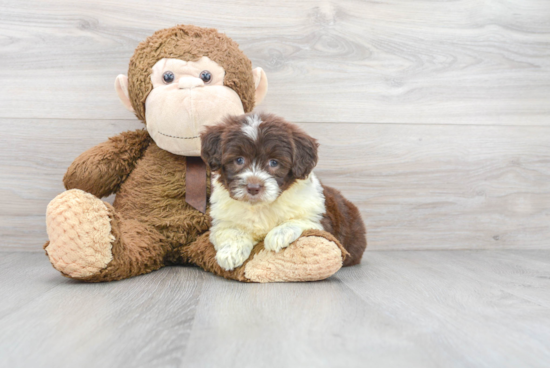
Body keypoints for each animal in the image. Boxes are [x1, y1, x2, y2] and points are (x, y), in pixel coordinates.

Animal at [202, 112, 366, 270]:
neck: (260, 206)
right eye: (239, 160)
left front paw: (279, 234)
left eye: (274, 162)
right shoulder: (223, 221)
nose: (253, 187)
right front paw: (230, 253)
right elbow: (232, 231)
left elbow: (300, 220)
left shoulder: (319, 218)